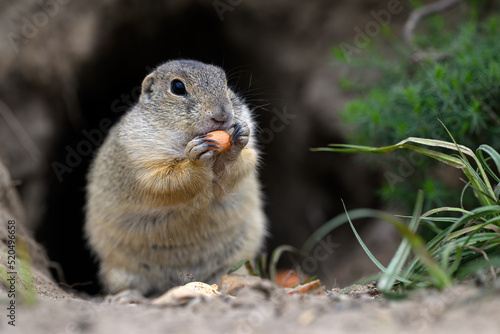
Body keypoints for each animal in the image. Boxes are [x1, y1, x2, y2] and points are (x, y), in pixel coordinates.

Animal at [84, 58, 268, 296]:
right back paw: (125, 297)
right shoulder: (143, 162)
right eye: (178, 87)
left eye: (225, 82)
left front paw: (238, 137)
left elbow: (242, 164)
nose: (223, 115)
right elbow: (168, 181)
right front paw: (196, 158)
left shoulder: (250, 154)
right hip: (119, 270)